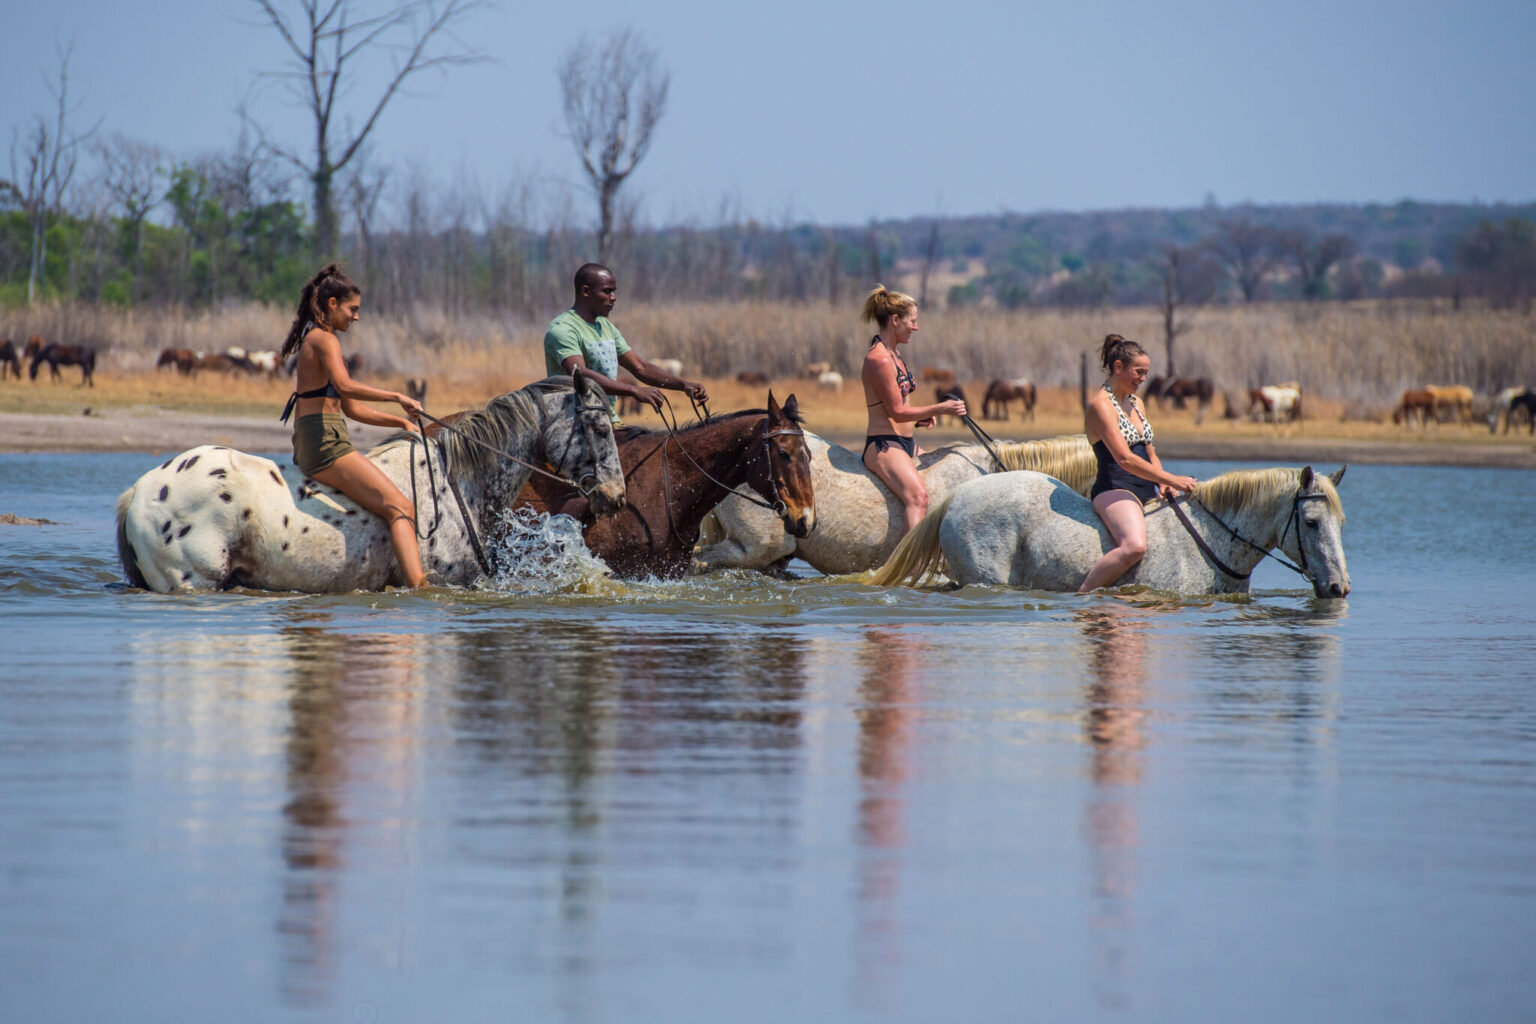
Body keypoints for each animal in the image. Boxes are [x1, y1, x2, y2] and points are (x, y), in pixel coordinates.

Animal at [871, 465, 1349, 599]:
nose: (1339, 588)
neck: (1210, 541)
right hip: (984, 576)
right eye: (1311, 523)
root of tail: (960, 494)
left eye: (1341, 523)